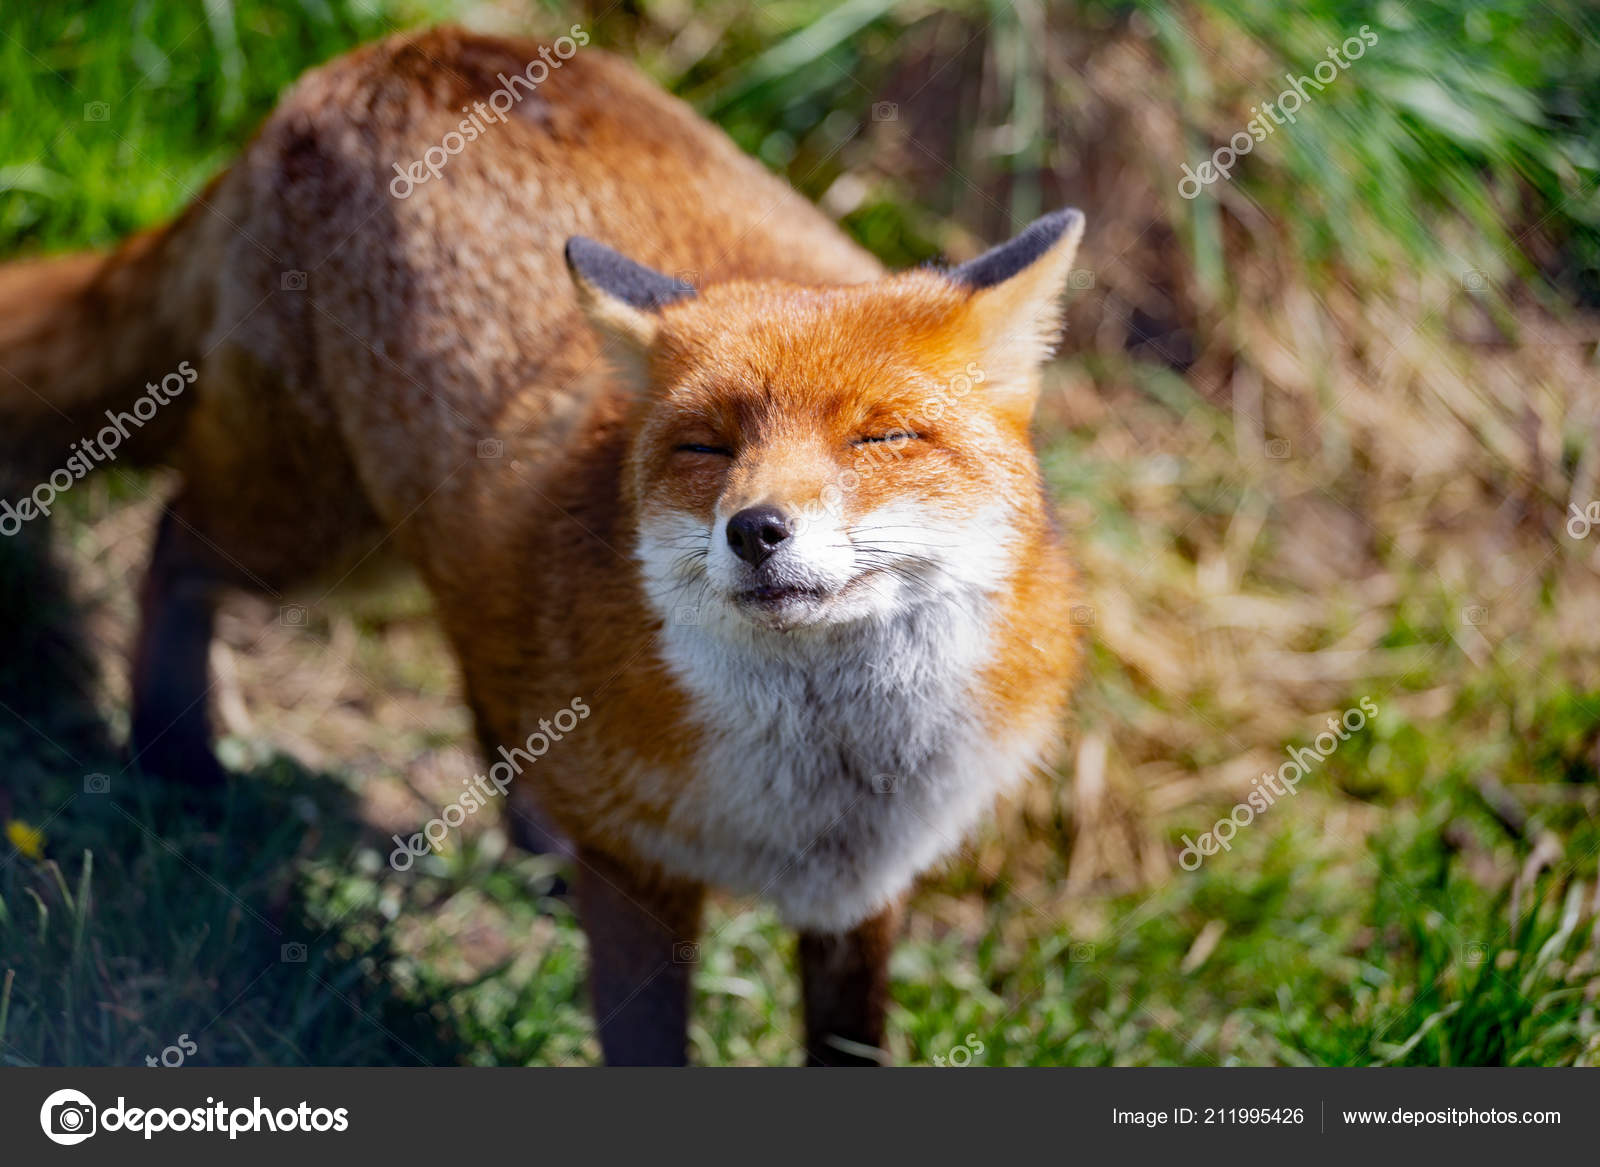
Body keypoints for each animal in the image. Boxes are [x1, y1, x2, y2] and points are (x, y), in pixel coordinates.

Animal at [0, 25, 1086, 1065]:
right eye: (705, 446)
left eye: (880, 438)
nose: (756, 529)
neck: (828, 782)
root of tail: (377, 56)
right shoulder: (642, 875)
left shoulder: (863, 891)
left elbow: (848, 1041)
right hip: (315, 535)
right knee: (172, 540)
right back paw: (175, 759)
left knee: (481, 671)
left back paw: (530, 831)